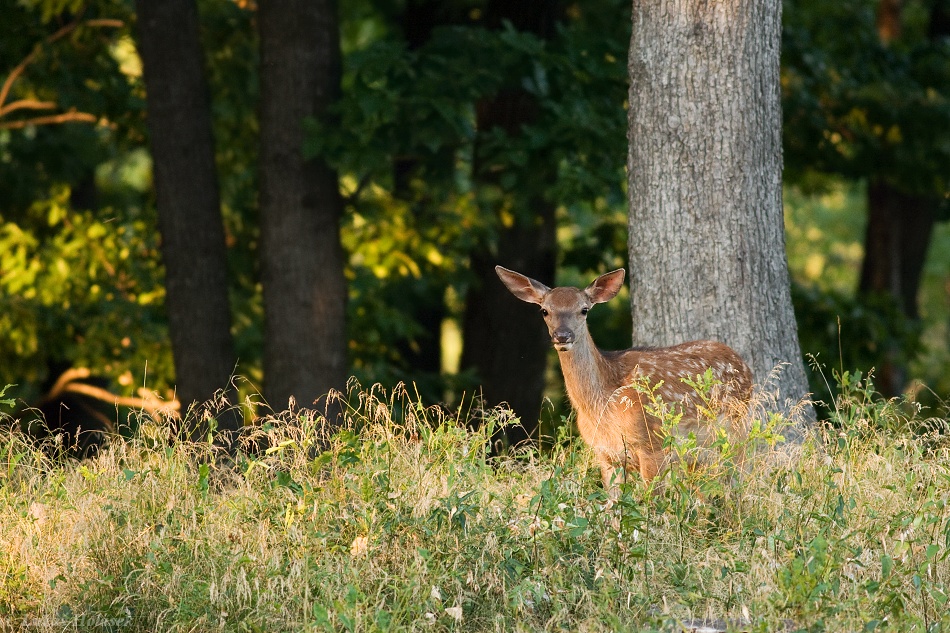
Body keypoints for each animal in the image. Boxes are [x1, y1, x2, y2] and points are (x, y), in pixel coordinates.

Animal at [494, 264, 756, 486]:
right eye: (544, 311)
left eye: (584, 310)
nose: (562, 335)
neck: (600, 406)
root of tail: (742, 363)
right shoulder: (605, 454)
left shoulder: (653, 444)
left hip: (737, 430)